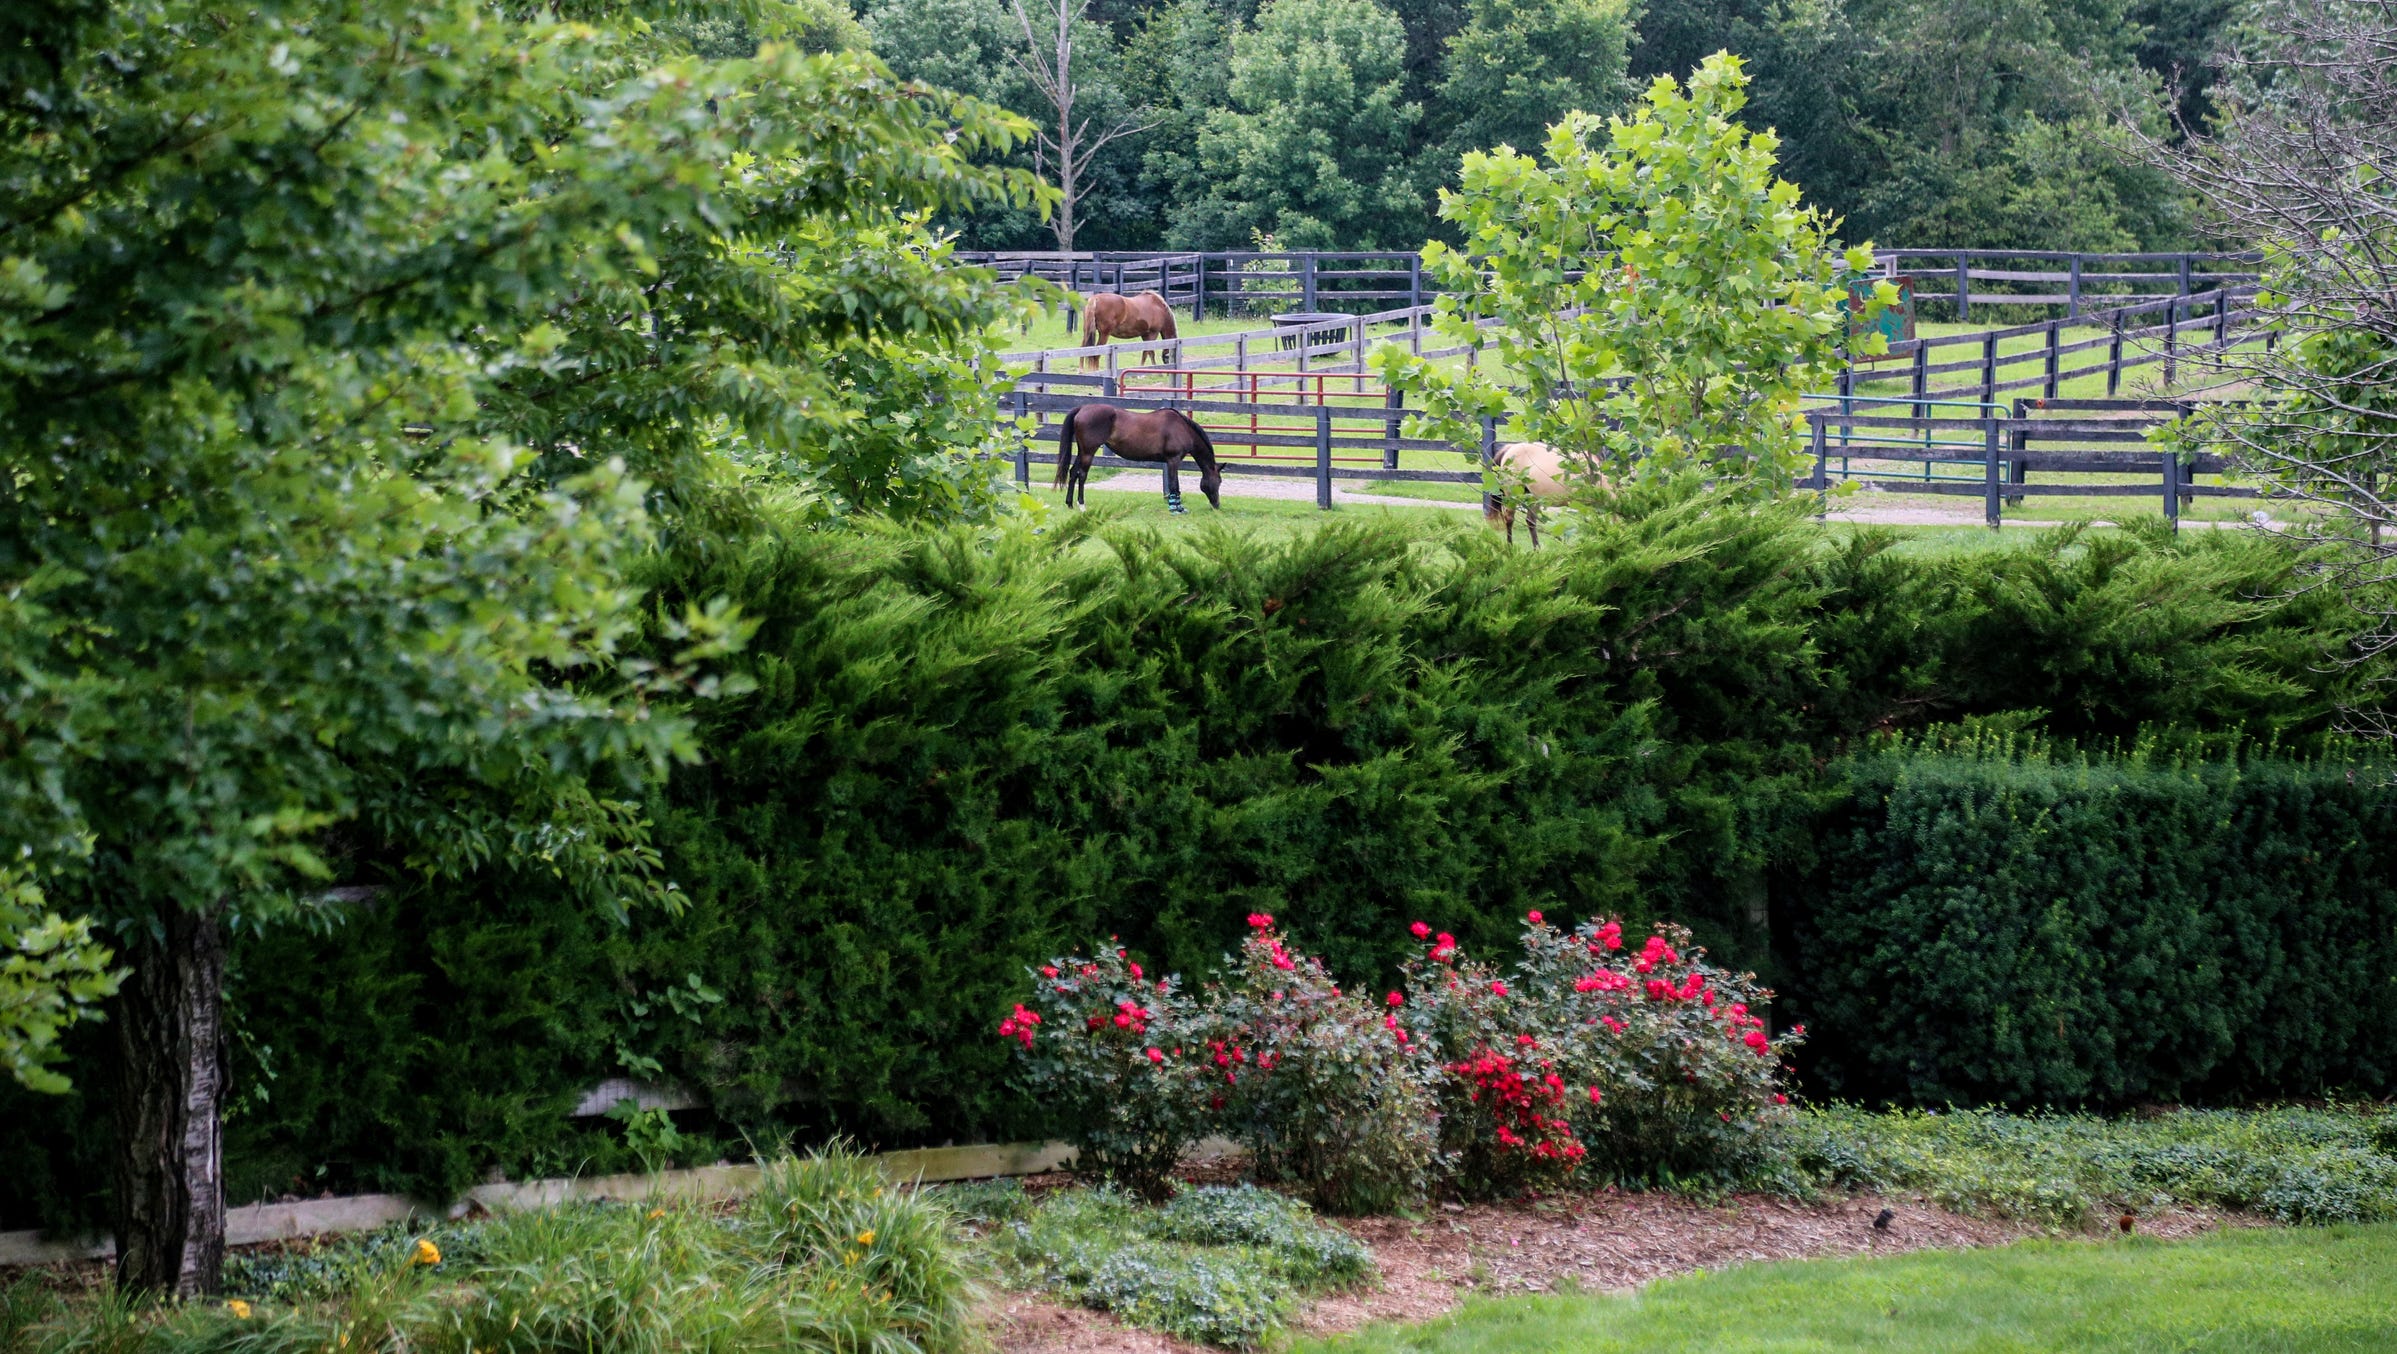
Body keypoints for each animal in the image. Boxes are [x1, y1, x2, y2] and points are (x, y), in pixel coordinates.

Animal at [1054, 404, 1223, 514]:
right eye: (1219, 482)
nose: (1217, 505)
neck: (1182, 428)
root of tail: (1082, 409)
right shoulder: (1173, 460)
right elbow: (1174, 485)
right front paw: (1176, 509)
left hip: (1082, 451)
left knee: (1073, 472)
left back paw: (1069, 504)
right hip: (1089, 452)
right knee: (1082, 475)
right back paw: (1082, 505)